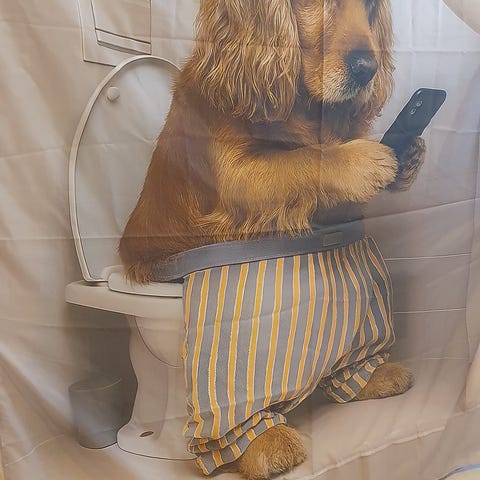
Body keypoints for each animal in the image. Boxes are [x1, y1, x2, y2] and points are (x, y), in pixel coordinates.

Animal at [120, 0, 425, 478]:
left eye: (373, 8)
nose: (367, 68)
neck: (301, 103)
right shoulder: (239, 176)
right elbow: (303, 160)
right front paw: (357, 159)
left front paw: (407, 152)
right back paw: (264, 445)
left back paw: (370, 375)